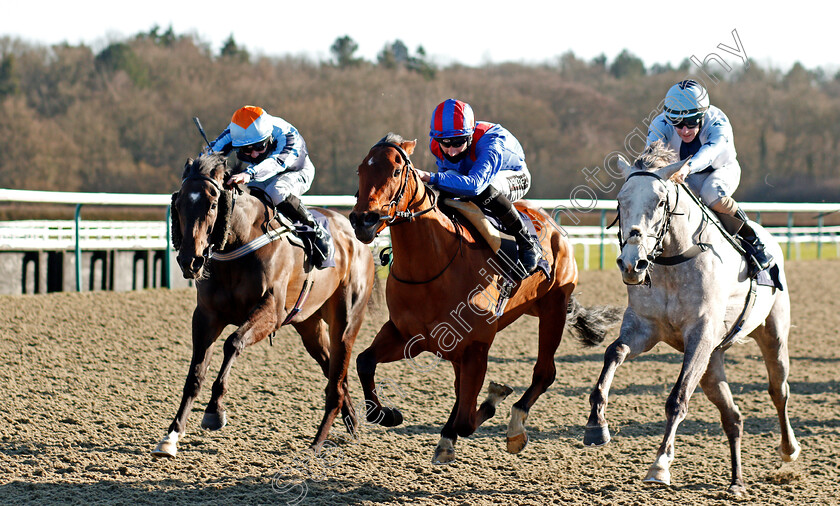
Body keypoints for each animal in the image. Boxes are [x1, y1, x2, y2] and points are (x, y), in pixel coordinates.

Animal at [152, 152, 374, 456]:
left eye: (212, 204)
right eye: (179, 203)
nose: (190, 261)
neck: (239, 243)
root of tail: (357, 238)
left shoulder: (270, 311)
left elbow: (233, 342)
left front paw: (214, 411)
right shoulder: (207, 316)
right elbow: (195, 374)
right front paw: (172, 436)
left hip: (346, 319)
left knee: (338, 370)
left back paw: (319, 441)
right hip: (309, 326)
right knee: (334, 372)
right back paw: (350, 423)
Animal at [350, 134, 624, 462]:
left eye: (394, 171)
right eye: (360, 171)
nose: (362, 220)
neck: (432, 266)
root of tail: (553, 225)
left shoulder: (477, 346)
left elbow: (467, 419)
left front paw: (491, 401)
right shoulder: (407, 335)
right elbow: (364, 361)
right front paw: (388, 414)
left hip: (553, 309)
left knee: (544, 373)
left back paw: (515, 426)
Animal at [584, 141, 800, 494]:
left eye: (660, 201)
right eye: (620, 201)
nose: (632, 264)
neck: (674, 260)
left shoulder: (700, 335)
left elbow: (678, 398)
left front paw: (660, 465)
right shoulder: (644, 327)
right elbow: (614, 352)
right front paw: (596, 424)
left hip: (773, 333)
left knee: (778, 390)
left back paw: (788, 449)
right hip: (713, 362)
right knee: (733, 417)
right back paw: (736, 482)